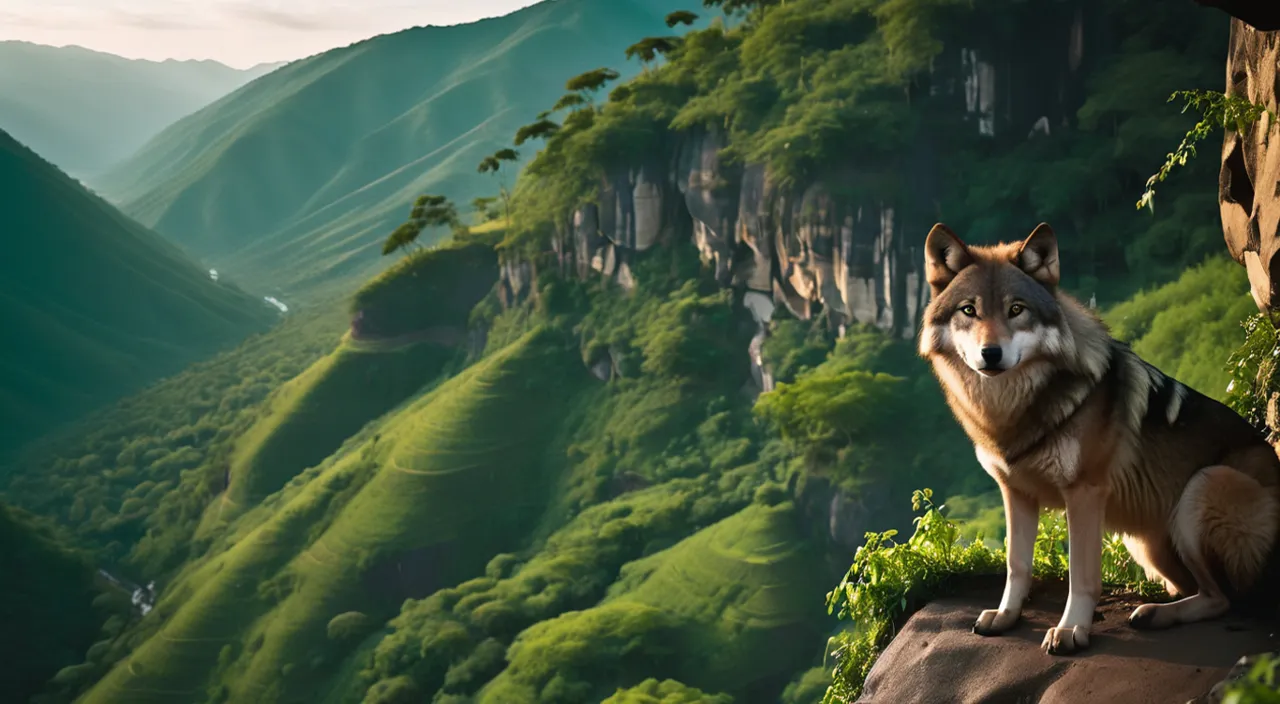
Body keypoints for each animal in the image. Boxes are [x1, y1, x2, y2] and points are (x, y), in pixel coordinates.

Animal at [916, 225, 1280, 655]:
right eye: (969, 311)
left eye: (1016, 310)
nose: (991, 353)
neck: (1014, 411)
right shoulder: (1015, 492)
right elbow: (1016, 563)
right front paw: (1006, 616)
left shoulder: (1085, 493)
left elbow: (1081, 574)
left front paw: (1071, 629)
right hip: (1146, 545)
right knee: (1200, 591)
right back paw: (1154, 610)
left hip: (1202, 487)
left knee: (1223, 599)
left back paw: (1154, 614)